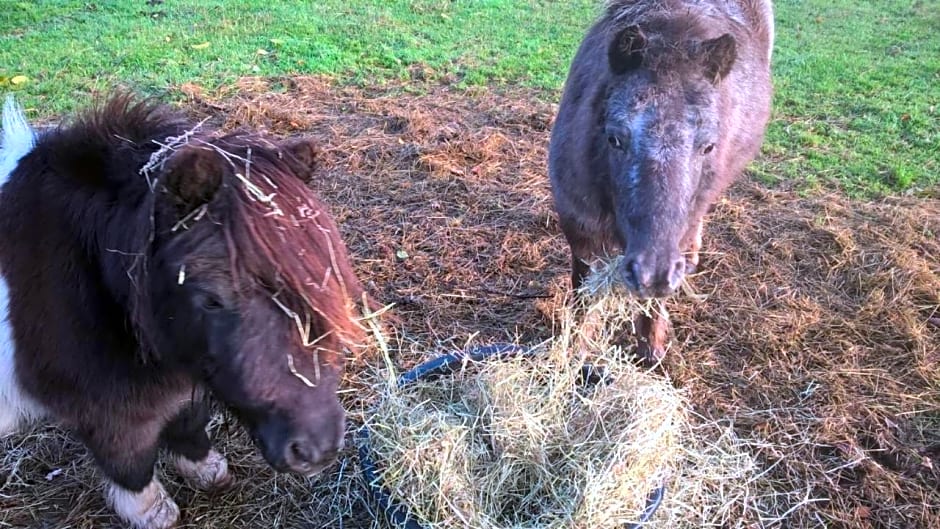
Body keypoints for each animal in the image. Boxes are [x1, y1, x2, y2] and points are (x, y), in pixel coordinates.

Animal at [0, 93, 370, 524]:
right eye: (211, 298)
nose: (317, 448)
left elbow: (189, 424)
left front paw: (207, 471)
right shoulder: (107, 409)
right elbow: (131, 458)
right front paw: (152, 513)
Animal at [548, 0, 776, 356]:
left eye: (708, 146)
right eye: (615, 138)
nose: (651, 274)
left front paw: (651, 346)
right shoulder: (579, 224)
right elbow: (583, 297)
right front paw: (575, 350)